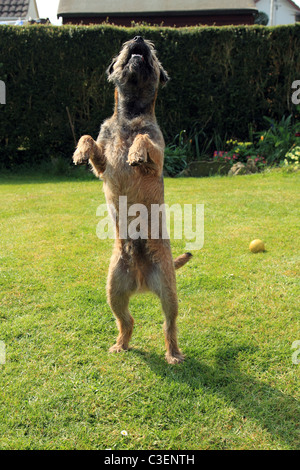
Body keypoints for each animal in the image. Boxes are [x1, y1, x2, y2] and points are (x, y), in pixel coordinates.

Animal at [72, 36, 191, 366]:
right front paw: (79, 151)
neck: (131, 115)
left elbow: (145, 141)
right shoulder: (101, 164)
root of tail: (140, 279)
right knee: (127, 320)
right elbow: (89, 138)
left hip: (168, 291)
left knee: (169, 325)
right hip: (114, 289)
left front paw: (136, 152)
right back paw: (121, 344)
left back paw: (173, 353)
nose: (138, 38)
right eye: (125, 45)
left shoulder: (159, 156)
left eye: (152, 48)